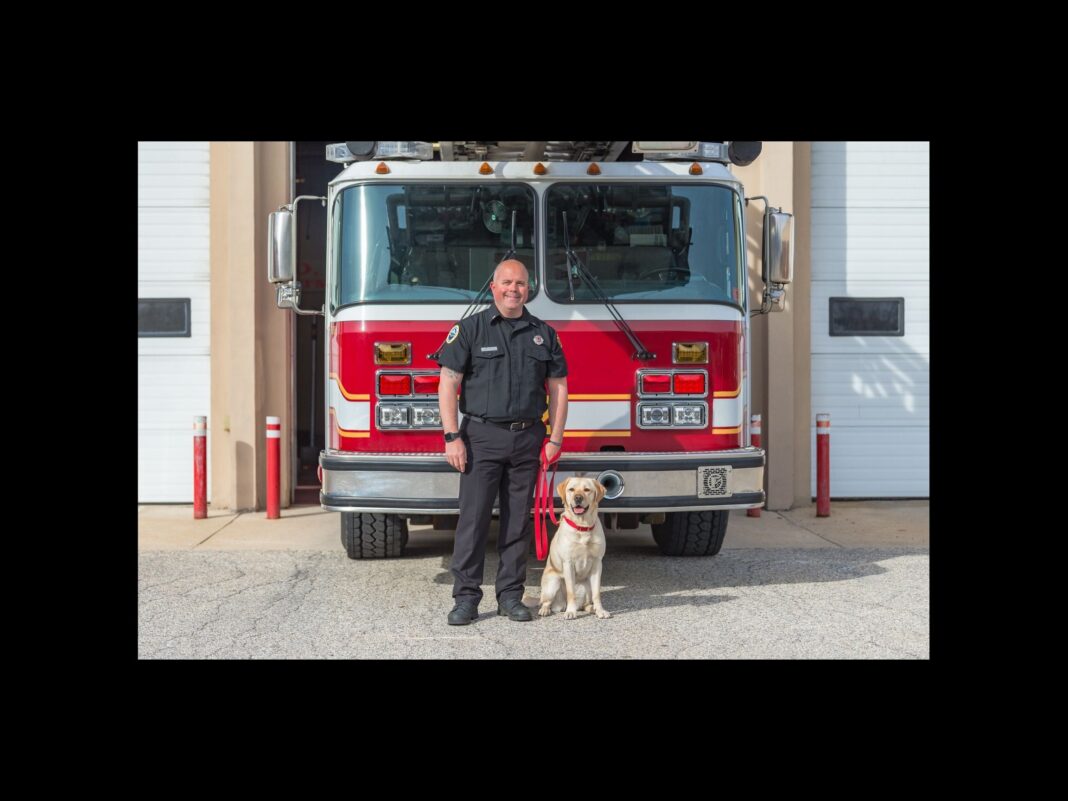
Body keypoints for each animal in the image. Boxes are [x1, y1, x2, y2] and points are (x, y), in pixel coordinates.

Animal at [542, 476, 610, 619]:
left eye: (587, 490)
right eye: (571, 489)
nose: (578, 498)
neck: (582, 526)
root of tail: (560, 605)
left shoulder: (597, 563)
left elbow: (597, 593)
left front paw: (600, 610)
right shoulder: (568, 562)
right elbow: (570, 592)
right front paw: (571, 612)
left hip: (587, 585)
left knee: (586, 603)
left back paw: (591, 608)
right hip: (553, 583)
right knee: (545, 601)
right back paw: (546, 610)